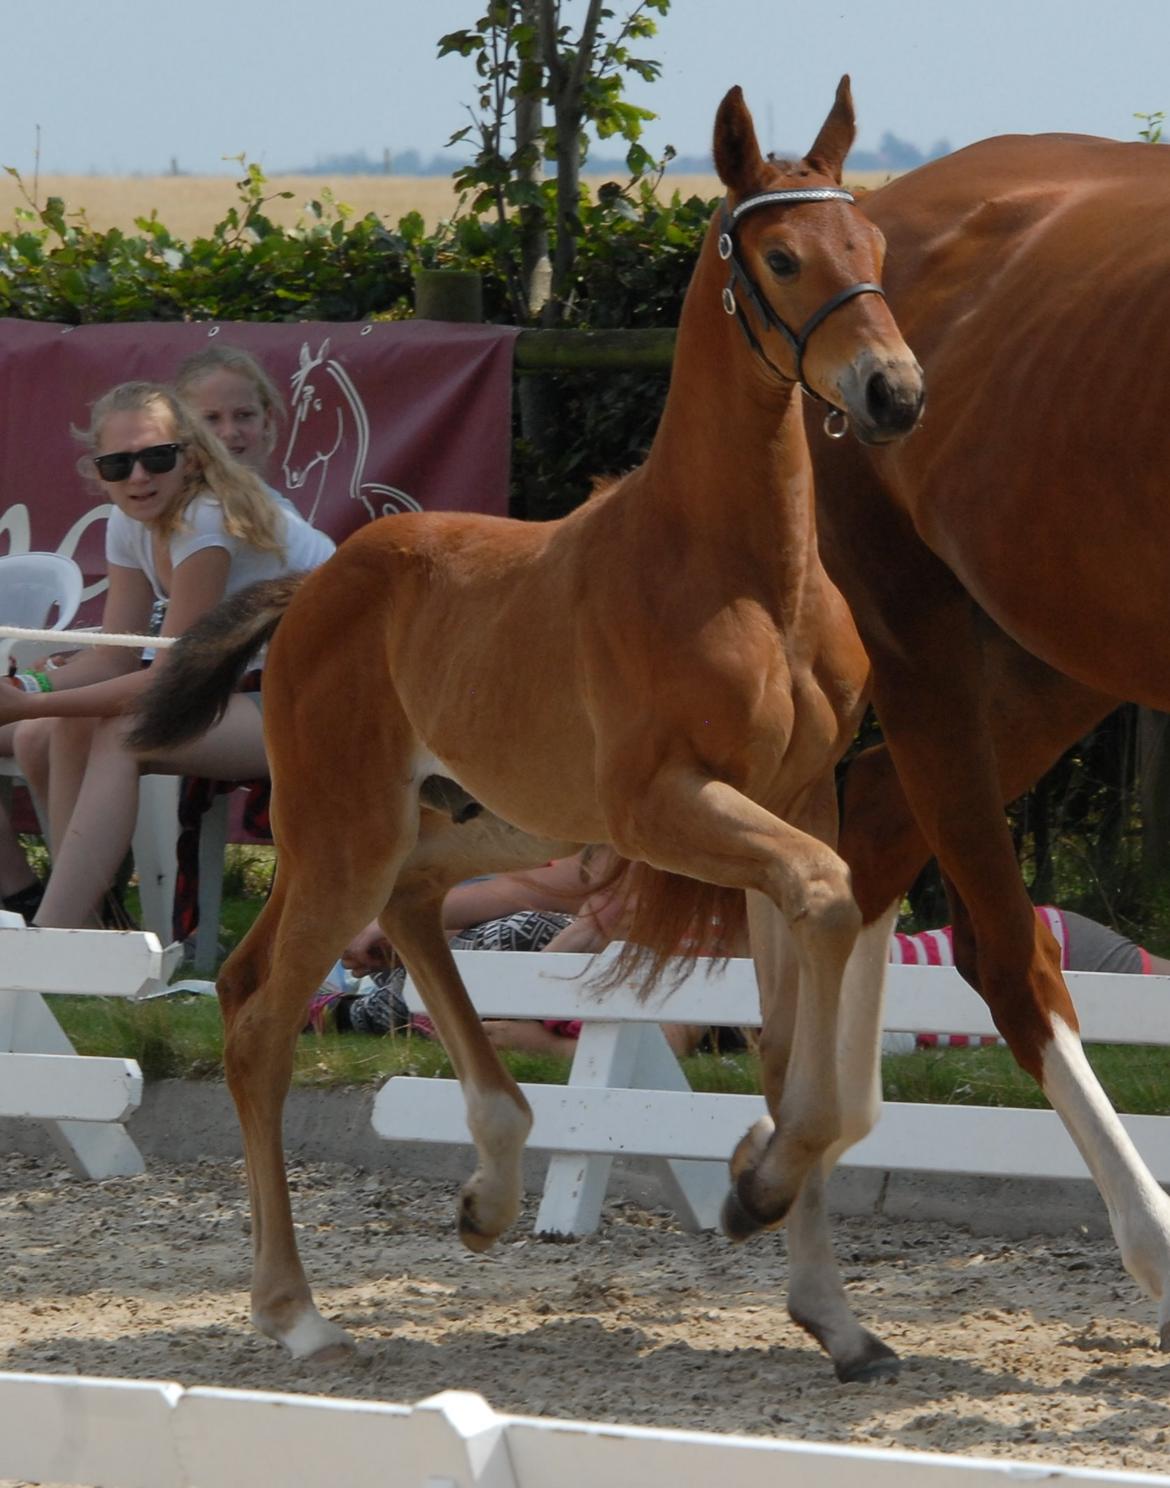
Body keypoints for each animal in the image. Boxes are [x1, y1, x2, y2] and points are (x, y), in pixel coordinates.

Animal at [130, 78, 922, 1380]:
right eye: (784, 257)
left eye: (877, 251)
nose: (893, 394)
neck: (744, 570)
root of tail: (318, 584)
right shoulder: (668, 806)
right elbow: (822, 915)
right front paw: (755, 1188)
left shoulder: (797, 798)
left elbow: (787, 1021)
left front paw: (834, 1311)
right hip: (347, 829)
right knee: (257, 1021)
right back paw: (296, 1313)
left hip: (481, 823)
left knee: (393, 921)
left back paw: (489, 1187)